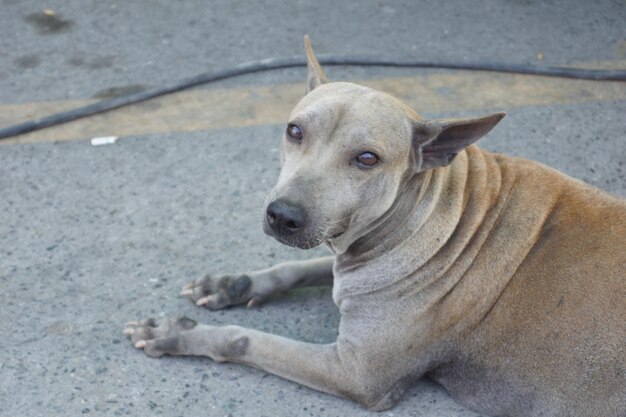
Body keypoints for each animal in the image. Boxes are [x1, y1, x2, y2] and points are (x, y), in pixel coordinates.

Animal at [123, 37, 624, 414]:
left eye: (367, 158)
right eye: (294, 131)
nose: (283, 215)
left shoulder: (356, 372)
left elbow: (243, 339)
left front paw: (178, 333)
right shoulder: (342, 247)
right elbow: (295, 268)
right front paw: (229, 284)